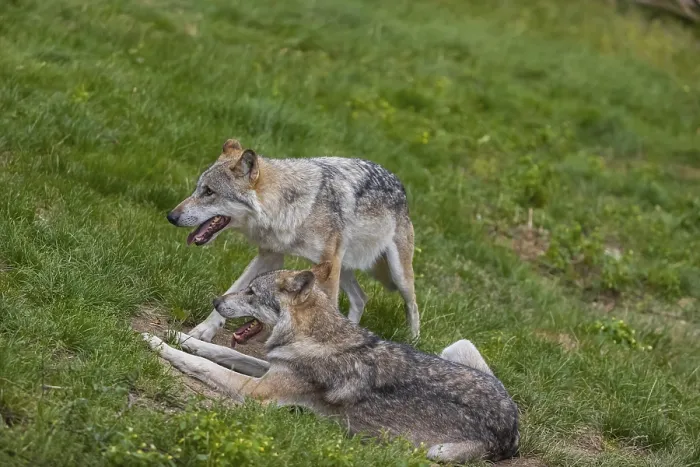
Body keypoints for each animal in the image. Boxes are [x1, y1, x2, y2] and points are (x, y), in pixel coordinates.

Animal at [143, 263, 519, 463]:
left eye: (251, 292)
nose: (215, 300)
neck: (314, 336)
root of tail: (515, 429)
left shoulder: (255, 391)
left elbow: (204, 365)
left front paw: (154, 342)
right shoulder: (267, 369)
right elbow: (219, 353)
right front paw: (178, 337)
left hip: (436, 452)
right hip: (459, 345)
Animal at [166, 139, 420, 342]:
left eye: (209, 192)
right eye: (197, 189)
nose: (171, 216)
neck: (293, 209)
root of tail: (399, 183)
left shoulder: (328, 265)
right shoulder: (270, 256)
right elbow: (235, 288)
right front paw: (204, 329)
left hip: (397, 275)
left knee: (413, 305)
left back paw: (414, 341)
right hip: (342, 267)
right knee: (361, 298)